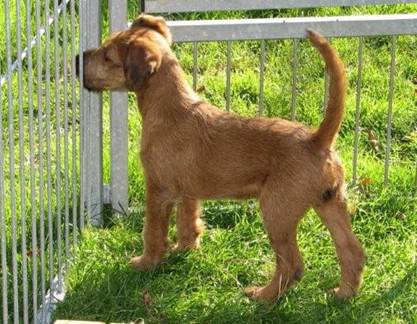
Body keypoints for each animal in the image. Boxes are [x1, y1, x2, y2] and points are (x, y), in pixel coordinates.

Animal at [75, 15, 364, 302]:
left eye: (108, 57)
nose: (77, 60)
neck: (170, 107)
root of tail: (317, 139)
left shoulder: (158, 189)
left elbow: (153, 231)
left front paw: (146, 263)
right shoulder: (188, 192)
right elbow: (187, 221)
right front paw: (185, 249)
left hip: (277, 211)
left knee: (292, 264)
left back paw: (263, 296)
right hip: (330, 203)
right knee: (353, 251)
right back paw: (343, 293)